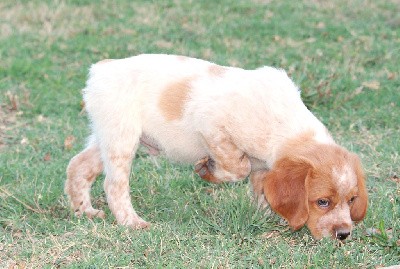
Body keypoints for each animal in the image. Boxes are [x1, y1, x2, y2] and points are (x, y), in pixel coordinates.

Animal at [65, 52, 366, 239]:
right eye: (322, 202)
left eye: (352, 200)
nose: (343, 235)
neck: (283, 122)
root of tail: (101, 69)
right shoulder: (212, 128)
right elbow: (237, 167)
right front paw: (207, 169)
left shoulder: (264, 167)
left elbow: (262, 192)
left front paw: (268, 218)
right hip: (122, 138)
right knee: (114, 185)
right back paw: (132, 222)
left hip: (106, 137)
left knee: (78, 166)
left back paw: (85, 211)